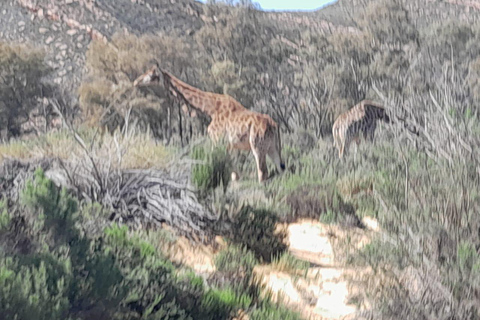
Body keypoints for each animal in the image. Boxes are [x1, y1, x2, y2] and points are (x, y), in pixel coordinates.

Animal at [134, 64, 284, 182]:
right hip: (273, 147)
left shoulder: (216, 139)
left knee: (263, 173)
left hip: (257, 145)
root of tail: (274, 126)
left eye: (151, 75)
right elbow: (234, 174)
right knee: (281, 168)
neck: (210, 109)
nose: (136, 81)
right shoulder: (232, 145)